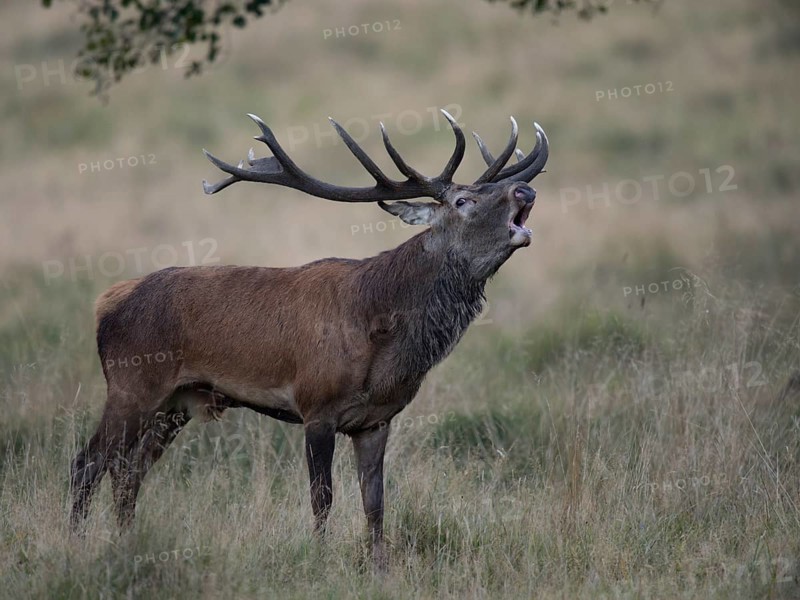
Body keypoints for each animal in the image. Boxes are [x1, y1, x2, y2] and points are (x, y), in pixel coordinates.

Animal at [69, 109, 548, 567]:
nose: (524, 190)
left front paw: (380, 568)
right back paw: (75, 545)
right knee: (87, 464)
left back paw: (128, 544)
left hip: (177, 403)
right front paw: (319, 560)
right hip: (132, 386)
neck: (382, 336)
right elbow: (323, 497)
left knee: (128, 473)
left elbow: (375, 502)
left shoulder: (376, 420)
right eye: (462, 200)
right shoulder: (317, 406)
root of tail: (105, 304)